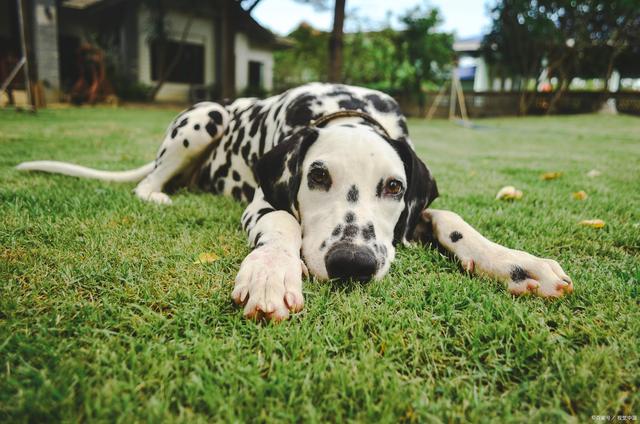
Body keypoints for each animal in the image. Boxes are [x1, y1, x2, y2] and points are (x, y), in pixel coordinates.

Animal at [16, 83, 576, 322]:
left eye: (393, 188)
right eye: (318, 175)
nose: (352, 263)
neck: (343, 109)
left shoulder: (413, 209)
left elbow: (451, 218)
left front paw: (514, 262)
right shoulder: (264, 201)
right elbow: (282, 224)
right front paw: (270, 274)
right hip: (205, 118)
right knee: (147, 182)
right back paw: (156, 195)